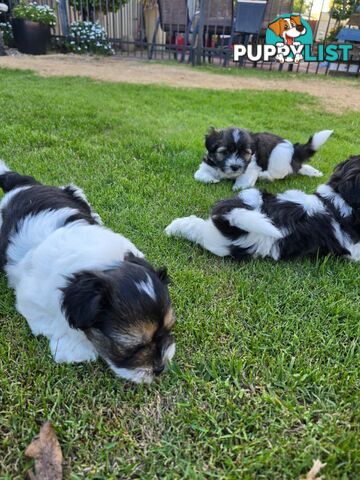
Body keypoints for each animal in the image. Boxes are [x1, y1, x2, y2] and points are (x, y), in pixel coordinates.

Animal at [195, 126, 334, 190]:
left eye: (245, 153)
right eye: (224, 152)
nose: (235, 167)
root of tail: (294, 149)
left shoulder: (251, 166)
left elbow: (244, 179)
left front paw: (238, 186)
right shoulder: (208, 163)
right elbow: (198, 175)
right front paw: (211, 179)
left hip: (278, 158)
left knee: (283, 173)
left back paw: (265, 176)